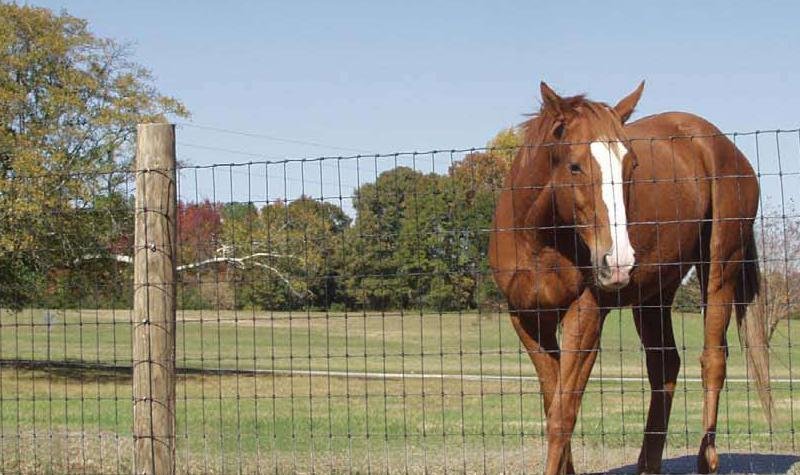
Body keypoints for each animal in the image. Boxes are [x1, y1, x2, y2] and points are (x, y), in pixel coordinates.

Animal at [490, 82, 772, 475]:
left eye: (631, 165)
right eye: (574, 166)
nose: (618, 261)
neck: (538, 239)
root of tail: (726, 148)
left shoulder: (586, 316)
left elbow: (563, 414)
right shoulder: (529, 320)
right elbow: (553, 402)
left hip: (719, 271)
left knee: (713, 361)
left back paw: (706, 460)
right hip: (654, 296)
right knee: (665, 366)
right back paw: (648, 465)